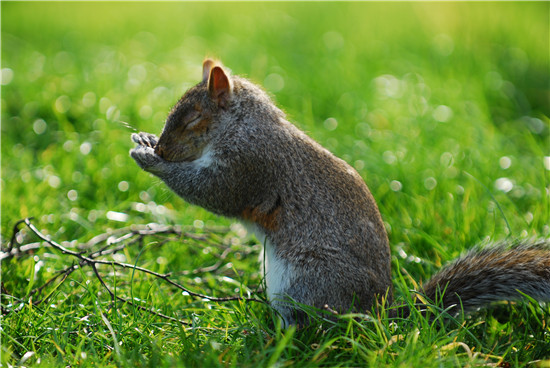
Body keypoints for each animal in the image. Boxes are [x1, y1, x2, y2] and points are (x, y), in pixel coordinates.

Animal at [132, 59, 550, 326]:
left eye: (193, 118)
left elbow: (212, 192)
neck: (243, 125)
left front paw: (151, 160)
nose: (164, 148)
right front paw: (145, 141)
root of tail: (380, 313)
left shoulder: (250, 165)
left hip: (310, 282)